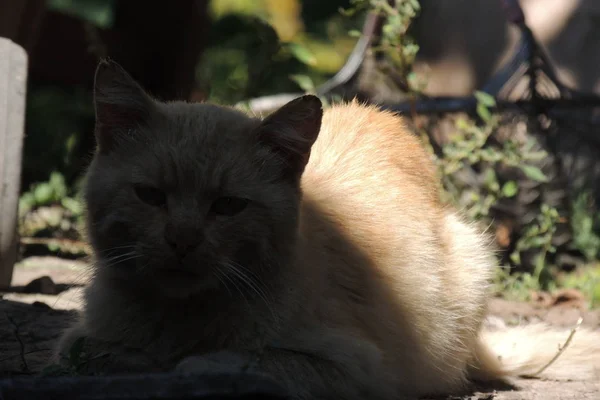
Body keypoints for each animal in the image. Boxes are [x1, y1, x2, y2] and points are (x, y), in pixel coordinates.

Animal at [51, 60, 600, 400]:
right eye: (151, 196)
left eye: (228, 206)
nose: (182, 241)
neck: (176, 317)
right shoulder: (79, 340)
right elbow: (91, 352)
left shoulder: (354, 369)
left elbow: (244, 362)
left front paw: (187, 365)